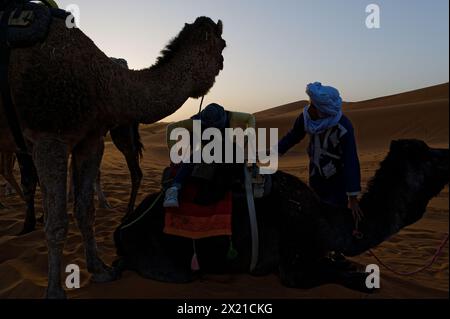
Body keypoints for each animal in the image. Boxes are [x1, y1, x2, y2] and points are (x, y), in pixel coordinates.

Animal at [114, 140, 448, 292]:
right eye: (429, 156)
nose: (448, 152)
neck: (327, 222)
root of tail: (121, 230)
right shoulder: (293, 264)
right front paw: (360, 277)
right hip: (171, 265)